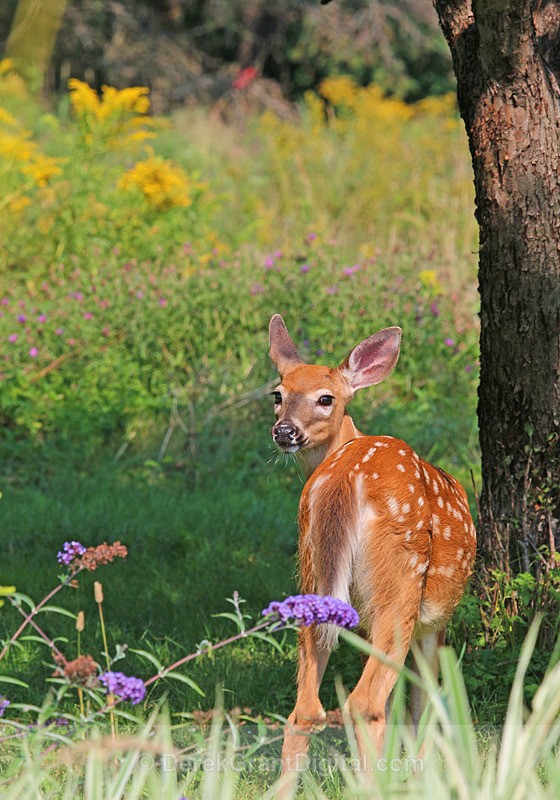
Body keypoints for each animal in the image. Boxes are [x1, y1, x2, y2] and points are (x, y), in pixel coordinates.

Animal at [268, 314, 476, 781]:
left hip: (312, 570)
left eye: (325, 398)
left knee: (304, 710)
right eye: (279, 394)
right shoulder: (432, 624)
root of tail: (346, 475)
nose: (285, 431)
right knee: (366, 702)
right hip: (401, 580)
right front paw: (422, 774)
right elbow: (422, 702)